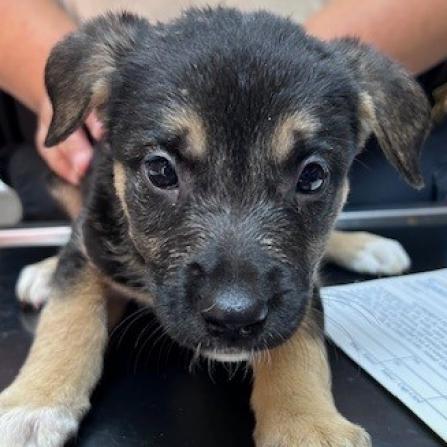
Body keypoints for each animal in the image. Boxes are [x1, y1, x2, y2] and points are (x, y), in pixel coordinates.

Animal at [0, 7, 430, 447]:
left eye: (312, 177)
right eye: (160, 170)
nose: (233, 318)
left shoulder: (301, 280)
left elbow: (303, 336)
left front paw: (307, 423)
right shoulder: (92, 241)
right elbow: (68, 316)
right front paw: (34, 403)